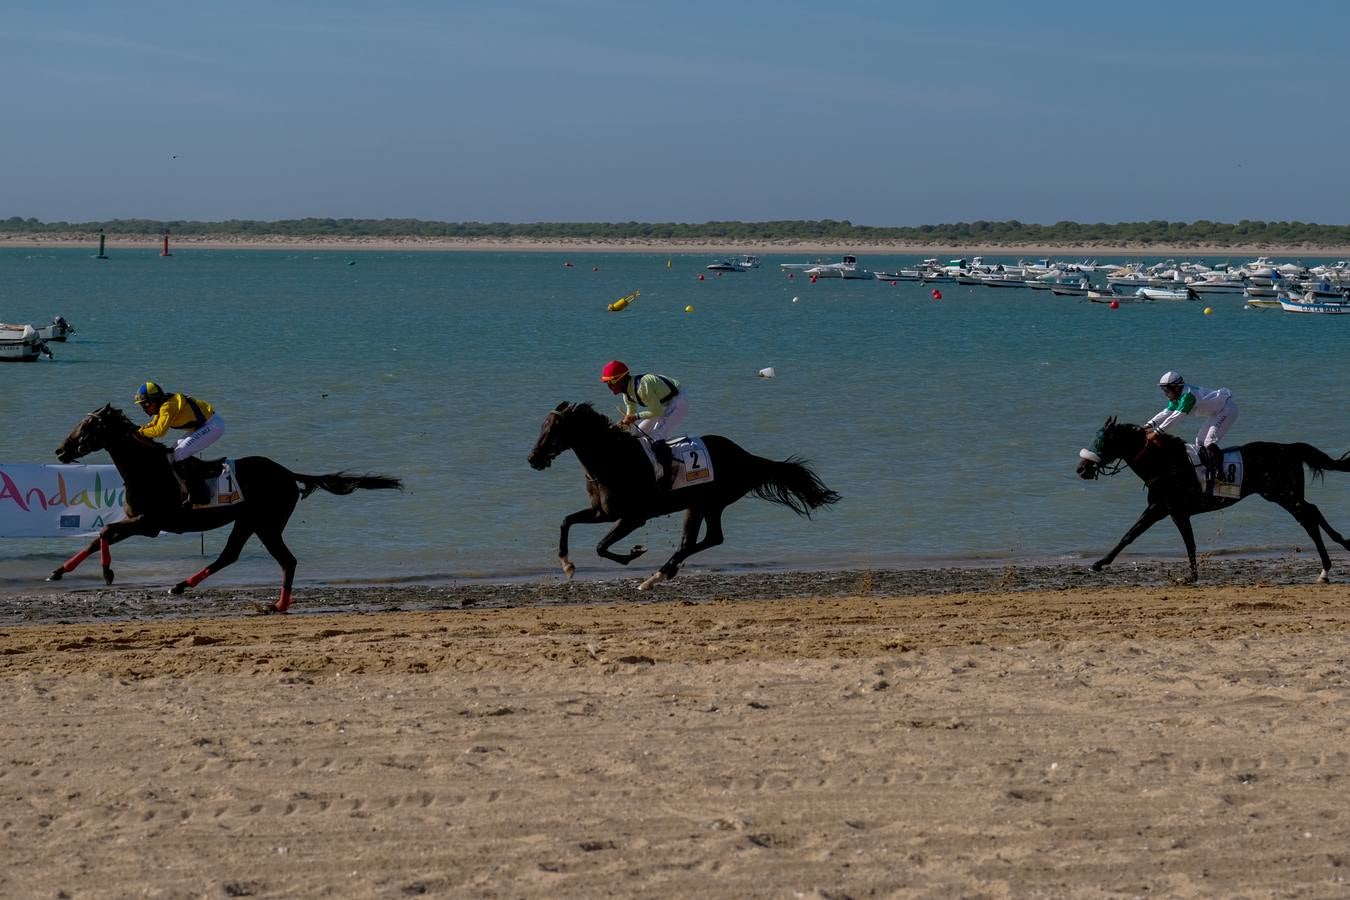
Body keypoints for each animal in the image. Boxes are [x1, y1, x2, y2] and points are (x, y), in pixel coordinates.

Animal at [52, 407, 399, 612]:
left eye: (88, 426)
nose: (60, 450)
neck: (148, 470)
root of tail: (288, 474)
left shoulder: (148, 522)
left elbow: (104, 530)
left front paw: (107, 573)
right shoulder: (136, 520)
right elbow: (97, 538)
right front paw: (58, 571)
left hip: (265, 523)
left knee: (284, 560)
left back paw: (277, 605)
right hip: (248, 522)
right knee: (230, 556)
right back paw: (182, 586)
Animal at [523, 402, 831, 591]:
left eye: (552, 430)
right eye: (541, 426)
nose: (533, 459)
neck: (614, 460)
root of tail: (746, 457)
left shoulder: (633, 517)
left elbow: (601, 546)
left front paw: (636, 552)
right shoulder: (603, 513)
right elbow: (566, 521)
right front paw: (567, 564)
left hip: (707, 503)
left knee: (701, 540)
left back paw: (655, 576)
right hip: (701, 505)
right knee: (707, 539)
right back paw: (665, 572)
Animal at [1074, 418, 1350, 585]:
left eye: (1102, 441)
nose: (1081, 468)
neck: (1164, 463)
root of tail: (1289, 448)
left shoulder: (1165, 509)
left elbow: (1137, 536)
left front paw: (1098, 563)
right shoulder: (1169, 510)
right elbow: (1174, 540)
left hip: (1284, 494)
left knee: (1309, 518)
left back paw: (1327, 567)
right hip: (1285, 495)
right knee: (1313, 512)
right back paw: (1336, 553)